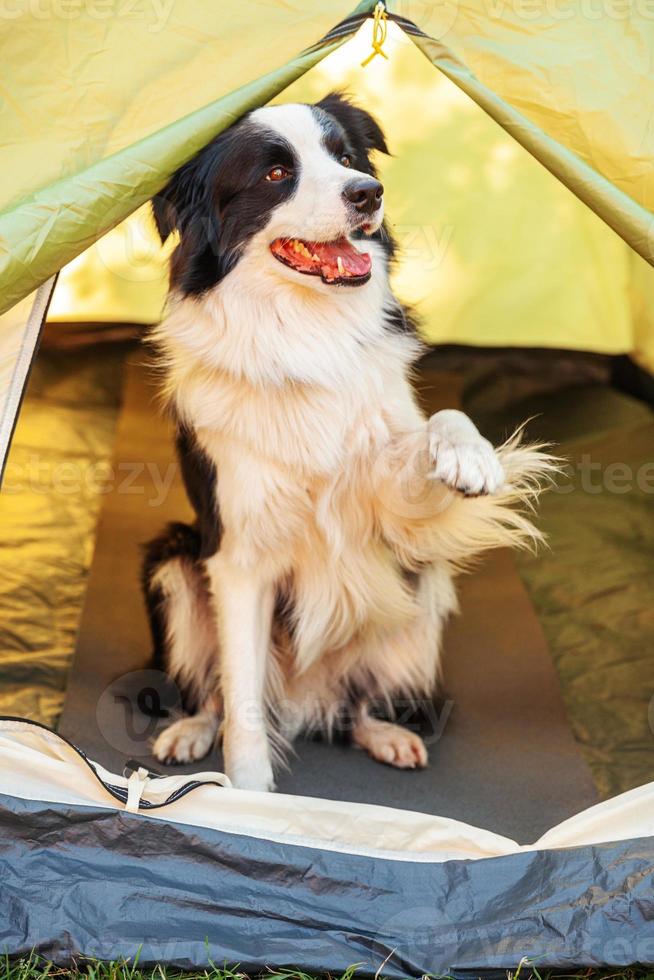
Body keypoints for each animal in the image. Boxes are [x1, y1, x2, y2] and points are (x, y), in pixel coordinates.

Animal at [146, 95, 552, 792]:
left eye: (345, 157)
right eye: (276, 174)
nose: (368, 192)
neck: (305, 330)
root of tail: (307, 697)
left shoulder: (388, 506)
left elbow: (440, 421)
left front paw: (470, 456)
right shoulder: (239, 555)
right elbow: (243, 704)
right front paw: (247, 799)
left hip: (421, 587)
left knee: (357, 701)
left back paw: (385, 732)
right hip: (173, 560)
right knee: (219, 693)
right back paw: (190, 730)